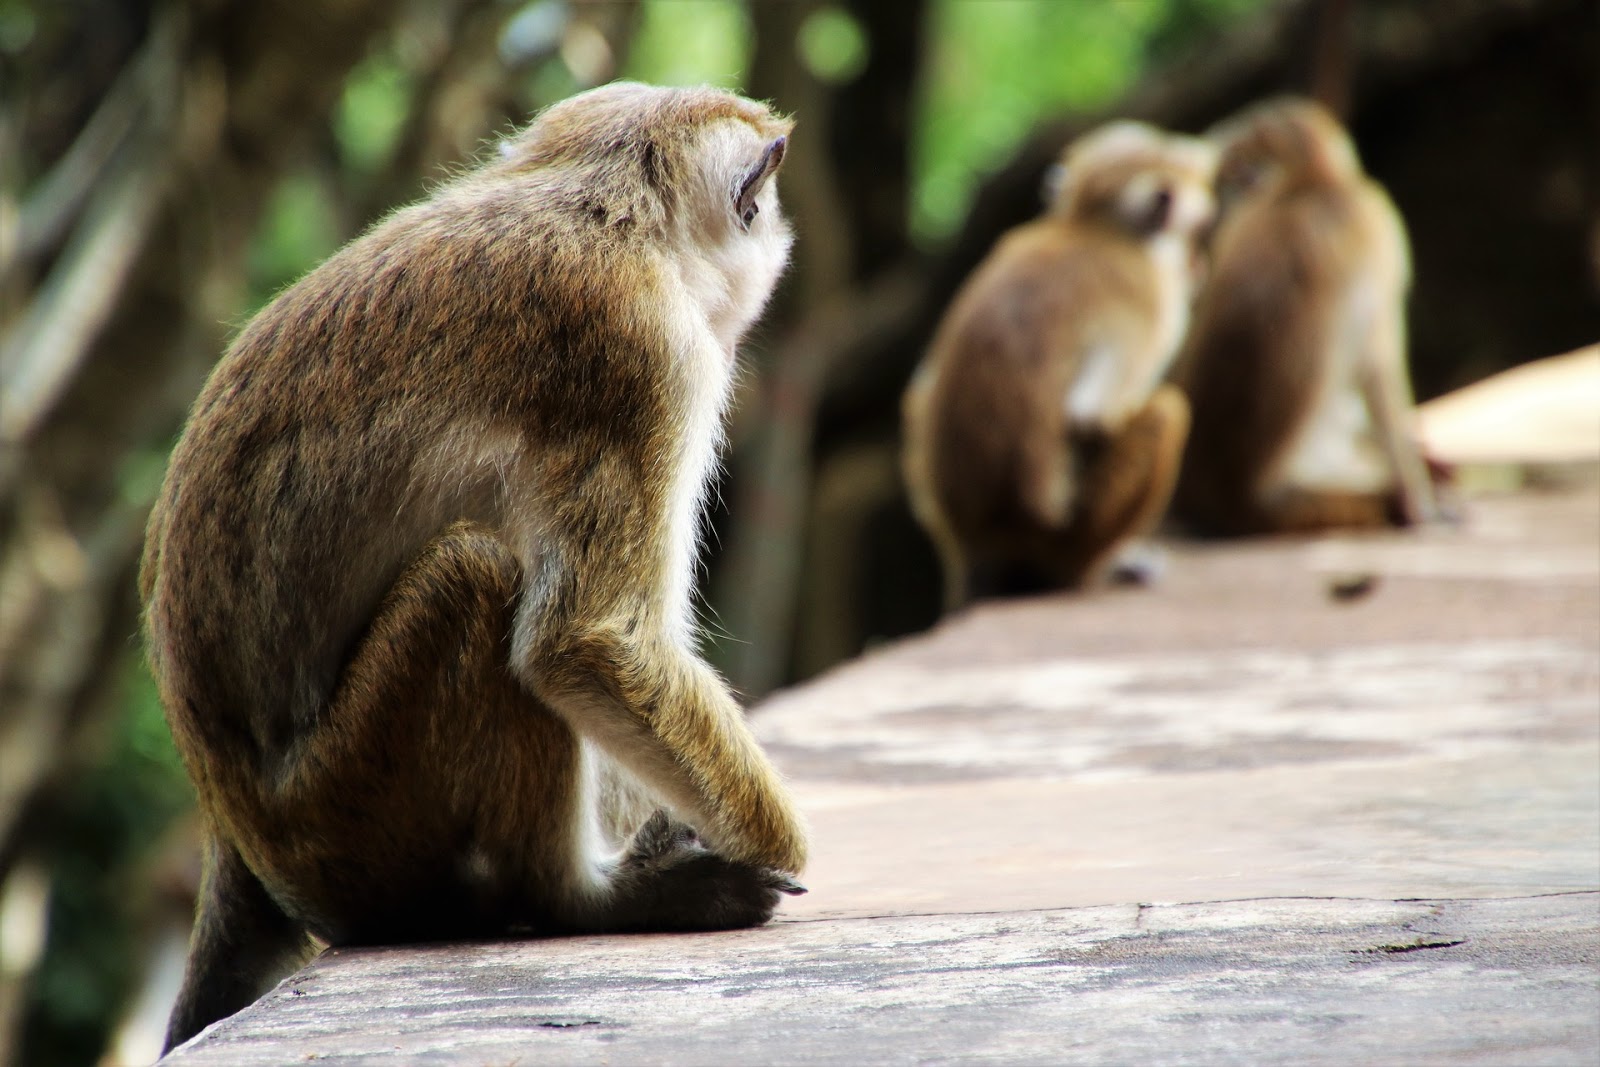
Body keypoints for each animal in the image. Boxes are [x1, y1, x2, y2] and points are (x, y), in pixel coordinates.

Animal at [140, 83, 800, 1049]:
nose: (779, 239)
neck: (607, 207)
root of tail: (234, 833)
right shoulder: (638, 351)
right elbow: (590, 641)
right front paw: (780, 846)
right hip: (349, 813)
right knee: (479, 576)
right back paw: (576, 897)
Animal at [902, 119, 1209, 607]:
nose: (1198, 265)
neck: (1095, 229)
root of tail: (983, 541)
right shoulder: (1148, 296)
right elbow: (1090, 417)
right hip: (1063, 538)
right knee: (1167, 412)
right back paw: (1095, 570)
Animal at [1171, 97, 1446, 534]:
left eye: (1228, 179)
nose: (1214, 214)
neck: (1311, 183)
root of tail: (1235, 498)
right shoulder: (1377, 223)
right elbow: (1379, 371)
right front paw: (1417, 497)